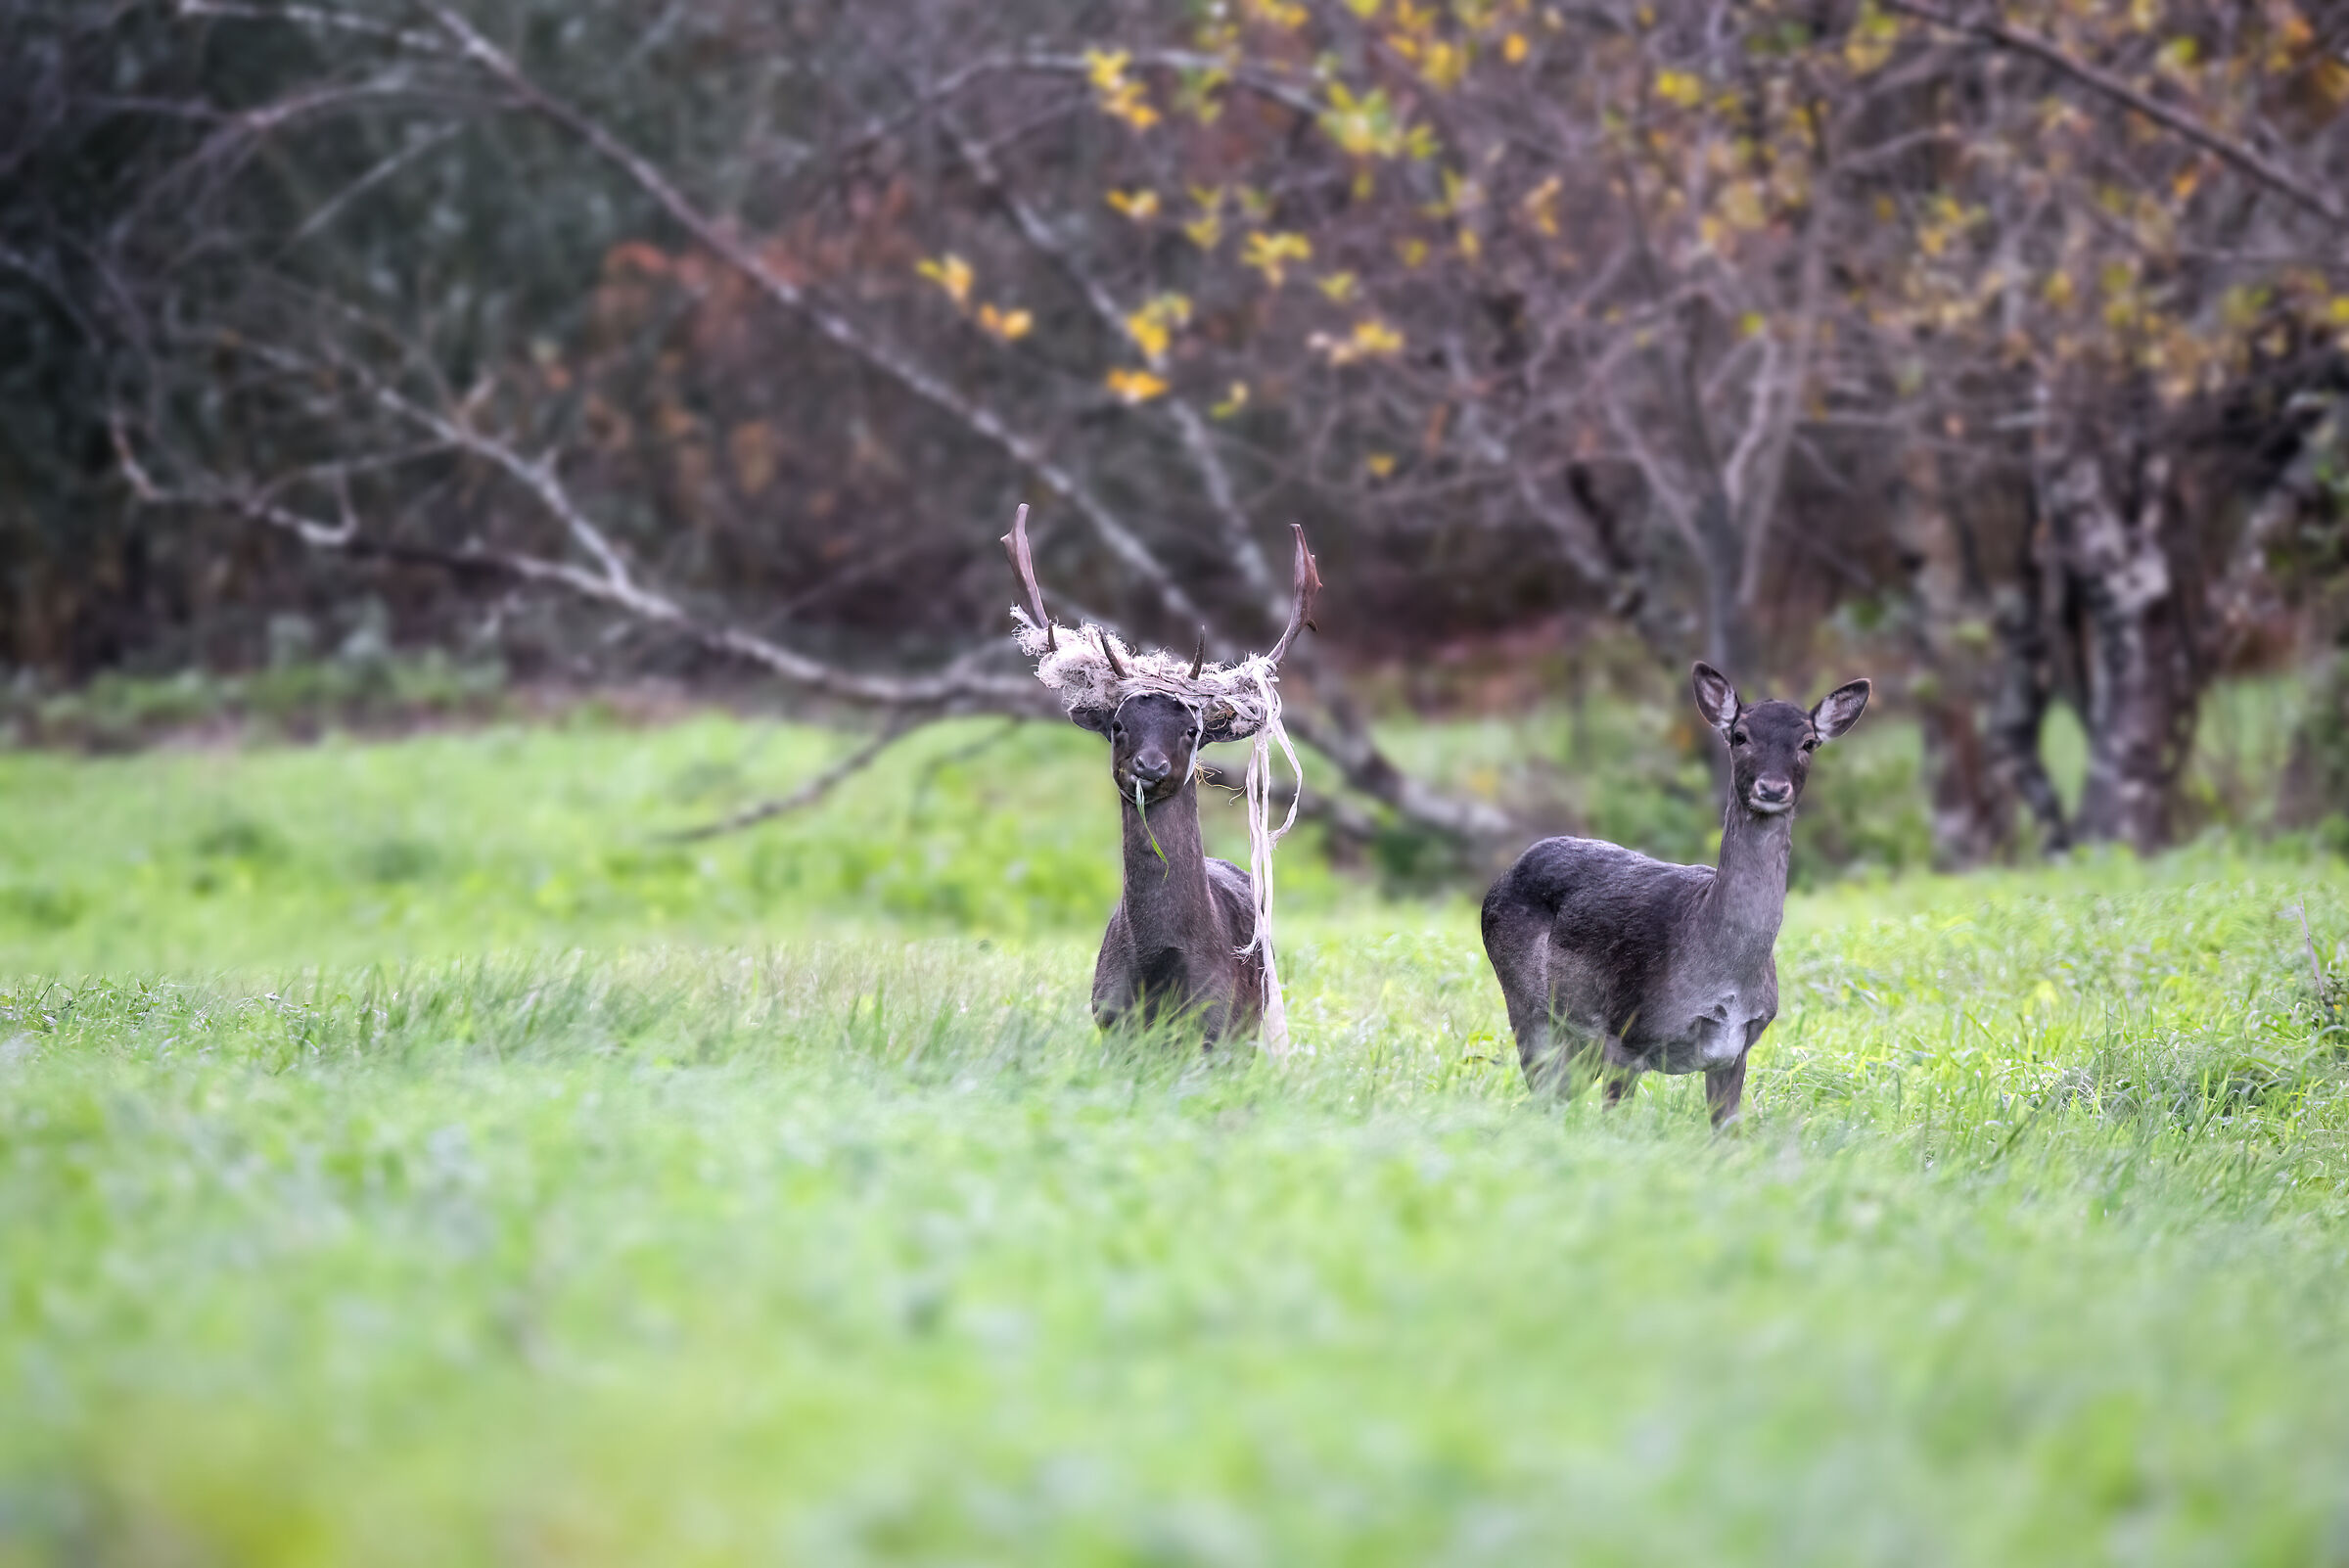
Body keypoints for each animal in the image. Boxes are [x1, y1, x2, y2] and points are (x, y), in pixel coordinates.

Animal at [1003, 506, 1320, 1049]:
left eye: (1191, 729)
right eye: (1118, 724)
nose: (1149, 767)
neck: (1160, 972)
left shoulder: (1219, 1030)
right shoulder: (1111, 1023)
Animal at [1480, 662, 1871, 1127]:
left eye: (1808, 742)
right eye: (1740, 735)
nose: (1773, 788)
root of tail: (1498, 882)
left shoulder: (1734, 1052)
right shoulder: (1625, 1033)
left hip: (1576, 1042)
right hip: (1527, 1006)